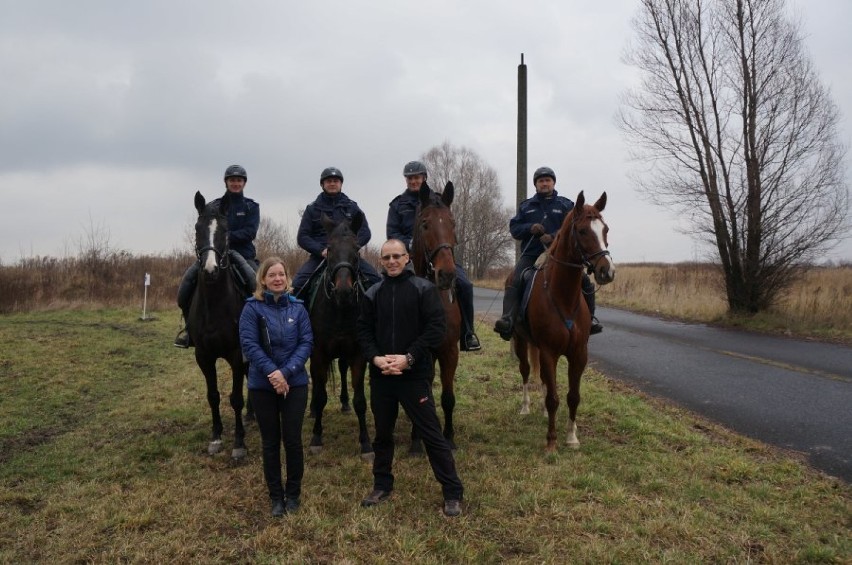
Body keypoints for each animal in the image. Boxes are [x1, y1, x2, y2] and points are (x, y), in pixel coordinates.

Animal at [308, 212, 372, 458]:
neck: (339, 309)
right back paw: (312, 410)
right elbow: (320, 396)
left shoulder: (358, 354)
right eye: (329, 248)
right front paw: (316, 438)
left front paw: (366, 443)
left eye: (357, 248)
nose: (343, 291)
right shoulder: (318, 354)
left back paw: (344, 402)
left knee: (343, 370)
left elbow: (360, 400)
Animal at [510, 192, 616, 452]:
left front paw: (572, 436)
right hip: (520, 340)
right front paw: (551, 441)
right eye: (582, 231)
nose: (607, 272)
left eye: (605, 229)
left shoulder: (579, 353)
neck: (563, 296)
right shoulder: (549, 352)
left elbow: (572, 397)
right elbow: (553, 398)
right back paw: (526, 407)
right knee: (526, 371)